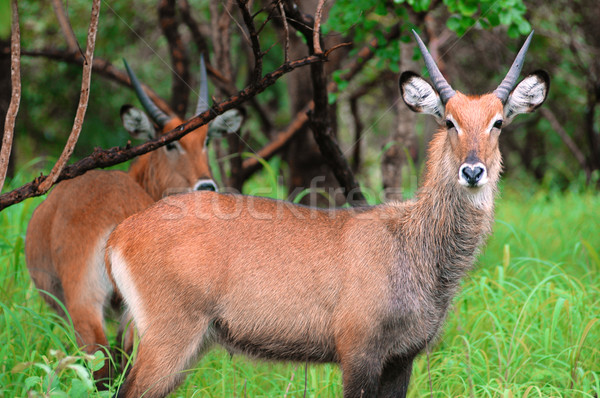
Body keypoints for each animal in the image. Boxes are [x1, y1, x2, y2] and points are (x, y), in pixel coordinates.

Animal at [24, 57, 244, 384]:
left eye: (206, 139)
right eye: (171, 143)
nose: (206, 185)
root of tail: (118, 213)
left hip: (85, 304)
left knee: (100, 361)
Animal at [104, 31, 548, 398]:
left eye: (498, 122)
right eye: (450, 121)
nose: (473, 171)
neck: (414, 244)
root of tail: (120, 233)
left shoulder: (401, 359)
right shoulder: (358, 354)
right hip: (169, 339)